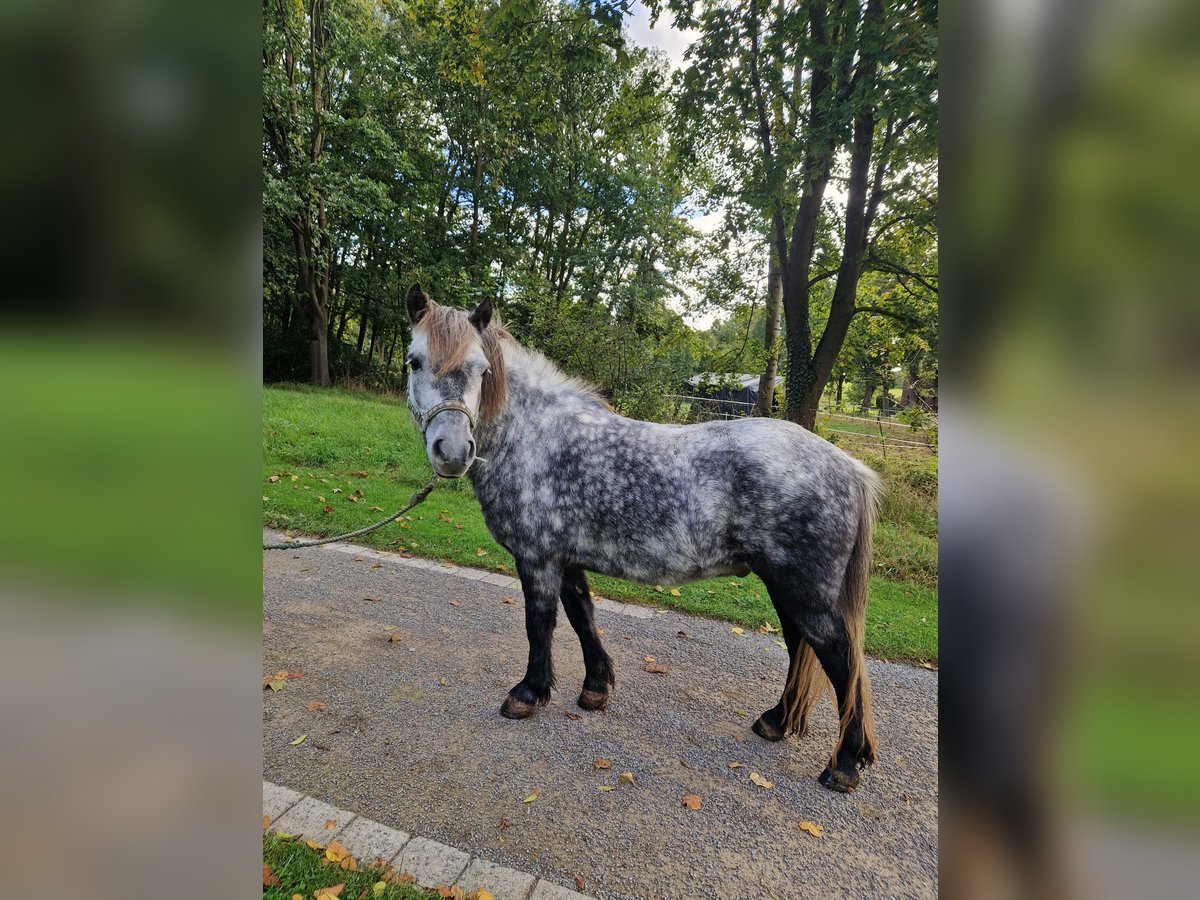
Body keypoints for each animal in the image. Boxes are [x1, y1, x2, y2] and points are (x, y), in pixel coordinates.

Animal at [403, 286, 883, 787]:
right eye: (415, 362)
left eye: (482, 370)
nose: (452, 451)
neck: (535, 437)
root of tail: (851, 468)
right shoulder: (566, 557)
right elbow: (582, 616)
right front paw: (596, 689)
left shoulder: (537, 558)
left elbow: (540, 624)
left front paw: (529, 694)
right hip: (788, 591)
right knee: (800, 650)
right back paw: (775, 722)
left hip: (804, 594)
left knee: (842, 661)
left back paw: (844, 763)